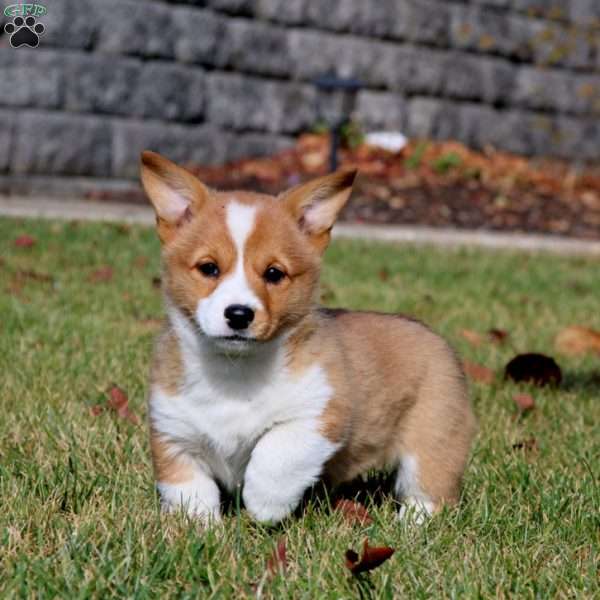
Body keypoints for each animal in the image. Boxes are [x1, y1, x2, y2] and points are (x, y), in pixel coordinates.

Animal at [142, 151, 478, 524]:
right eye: (208, 268)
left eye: (274, 273)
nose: (239, 314)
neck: (234, 372)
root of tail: (434, 336)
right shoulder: (174, 434)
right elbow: (188, 490)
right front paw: (200, 527)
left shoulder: (320, 413)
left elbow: (276, 452)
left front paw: (264, 505)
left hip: (433, 439)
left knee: (430, 491)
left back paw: (409, 525)